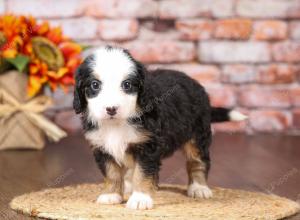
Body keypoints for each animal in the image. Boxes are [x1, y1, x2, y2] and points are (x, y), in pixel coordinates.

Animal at [72, 46, 246, 210]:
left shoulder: (147, 146)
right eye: (95, 85)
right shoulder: (102, 147)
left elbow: (142, 173)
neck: (117, 123)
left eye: (127, 85)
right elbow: (111, 173)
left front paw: (140, 198)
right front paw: (111, 195)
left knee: (198, 161)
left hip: (197, 135)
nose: (111, 109)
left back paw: (199, 188)